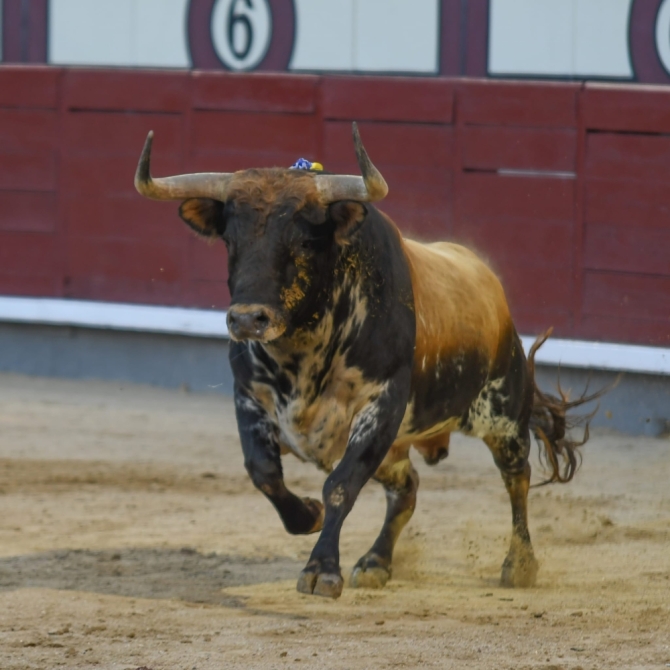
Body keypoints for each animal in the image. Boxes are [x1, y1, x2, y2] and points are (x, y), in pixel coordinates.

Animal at [134, 124, 600, 600]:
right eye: (230, 240)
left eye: (304, 242)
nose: (247, 319)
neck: (302, 350)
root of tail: (491, 288)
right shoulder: (250, 396)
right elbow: (263, 472)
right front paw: (308, 515)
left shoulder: (382, 405)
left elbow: (341, 485)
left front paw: (321, 570)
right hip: (398, 448)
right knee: (407, 489)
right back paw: (376, 562)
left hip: (502, 413)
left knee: (516, 477)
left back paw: (519, 564)